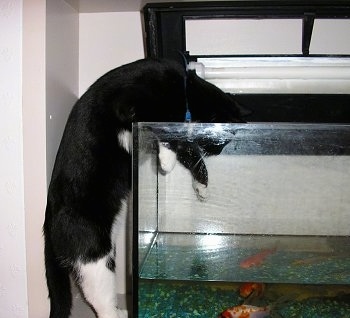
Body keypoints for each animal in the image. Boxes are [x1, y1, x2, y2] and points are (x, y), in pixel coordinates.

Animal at [43, 57, 243, 318]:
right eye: (222, 140)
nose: (218, 151)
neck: (183, 90)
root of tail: (48, 223)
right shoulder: (128, 103)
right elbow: (168, 129)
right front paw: (167, 162)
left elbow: (188, 150)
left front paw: (201, 185)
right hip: (94, 255)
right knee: (99, 298)